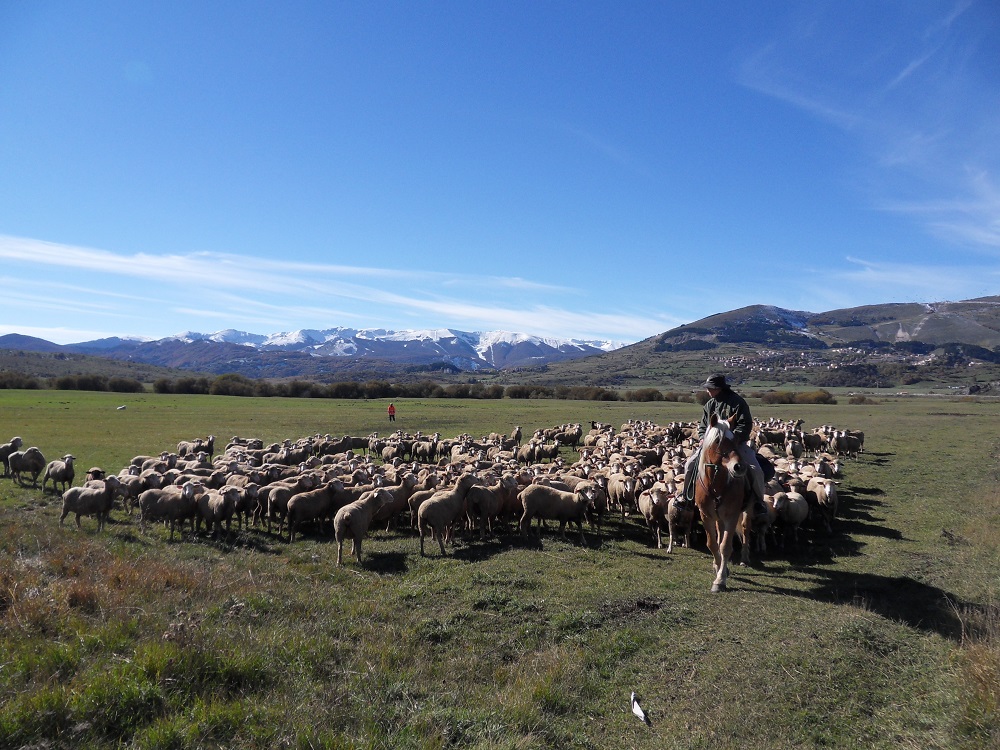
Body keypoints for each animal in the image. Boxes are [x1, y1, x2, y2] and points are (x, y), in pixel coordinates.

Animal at [694, 414, 748, 592]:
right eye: (718, 440)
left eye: (735, 439)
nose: (739, 467)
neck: (717, 485)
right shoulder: (706, 515)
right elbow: (712, 544)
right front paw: (718, 568)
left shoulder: (732, 515)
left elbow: (725, 547)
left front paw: (720, 580)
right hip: (718, 517)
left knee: (745, 532)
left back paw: (744, 559)